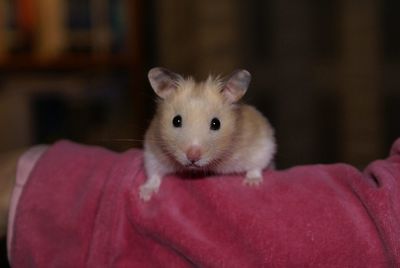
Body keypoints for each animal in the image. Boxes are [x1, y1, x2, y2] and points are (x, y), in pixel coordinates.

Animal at [140, 67, 276, 201]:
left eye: (216, 123)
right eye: (176, 120)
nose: (193, 157)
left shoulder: (262, 143)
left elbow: (257, 165)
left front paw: (252, 184)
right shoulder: (152, 152)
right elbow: (153, 174)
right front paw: (144, 195)